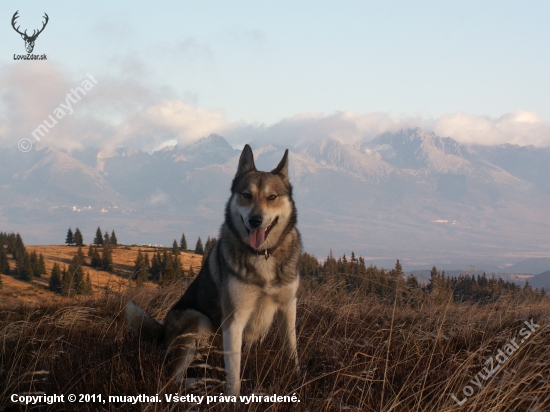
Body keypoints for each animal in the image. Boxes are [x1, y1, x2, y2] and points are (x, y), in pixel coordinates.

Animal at [126, 145, 302, 396]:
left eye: (272, 197)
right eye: (246, 195)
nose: (255, 220)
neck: (262, 255)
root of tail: (163, 333)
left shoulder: (288, 307)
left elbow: (291, 348)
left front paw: (296, 377)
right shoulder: (234, 319)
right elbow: (234, 372)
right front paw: (233, 399)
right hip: (199, 321)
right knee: (173, 378)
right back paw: (199, 384)